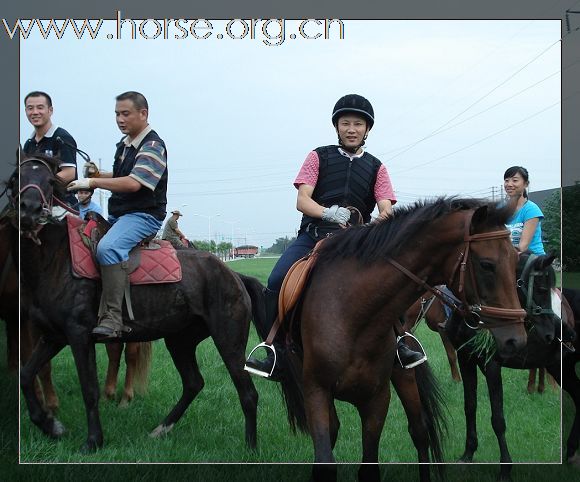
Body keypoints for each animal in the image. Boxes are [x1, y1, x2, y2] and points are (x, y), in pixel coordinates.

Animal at [13, 156, 266, 454]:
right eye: (17, 176)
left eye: (50, 181)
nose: (29, 210)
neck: (55, 258)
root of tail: (235, 276)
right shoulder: (54, 336)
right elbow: (25, 375)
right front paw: (50, 425)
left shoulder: (78, 335)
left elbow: (89, 389)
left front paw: (93, 441)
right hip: (180, 340)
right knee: (194, 383)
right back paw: (161, 428)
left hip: (228, 340)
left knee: (248, 393)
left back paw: (250, 448)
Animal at [274, 197, 528, 482]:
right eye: (486, 264)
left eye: (515, 260)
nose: (517, 340)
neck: (352, 313)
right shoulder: (315, 391)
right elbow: (325, 458)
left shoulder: (376, 398)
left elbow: (370, 467)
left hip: (404, 375)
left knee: (420, 432)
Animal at [444, 250, 576, 480]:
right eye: (541, 289)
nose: (551, 333)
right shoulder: (465, 359)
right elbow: (470, 406)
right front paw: (468, 453)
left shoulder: (491, 366)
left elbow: (498, 419)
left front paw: (505, 468)